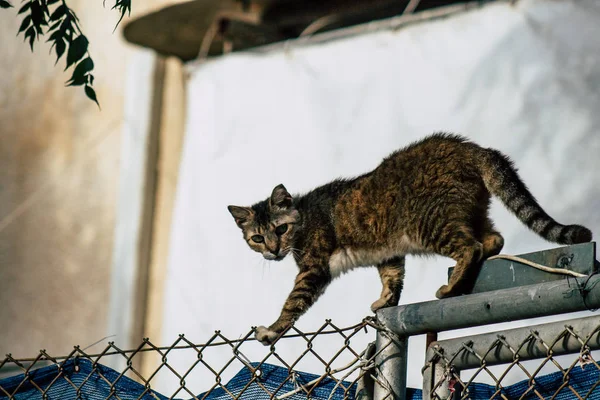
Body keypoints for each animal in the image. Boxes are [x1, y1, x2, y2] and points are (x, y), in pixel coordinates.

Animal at [227, 133, 592, 346]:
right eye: (257, 237)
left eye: (280, 230)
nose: (273, 249)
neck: (302, 219)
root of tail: (471, 147)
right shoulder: (387, 253)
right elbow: (392, 279)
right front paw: (385, 301)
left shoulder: (312, 269)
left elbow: (292, 304)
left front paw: (272, 329)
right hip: (470, 213)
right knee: (493, 240)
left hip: (429, 224)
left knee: (470, 247)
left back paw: (451, 287)